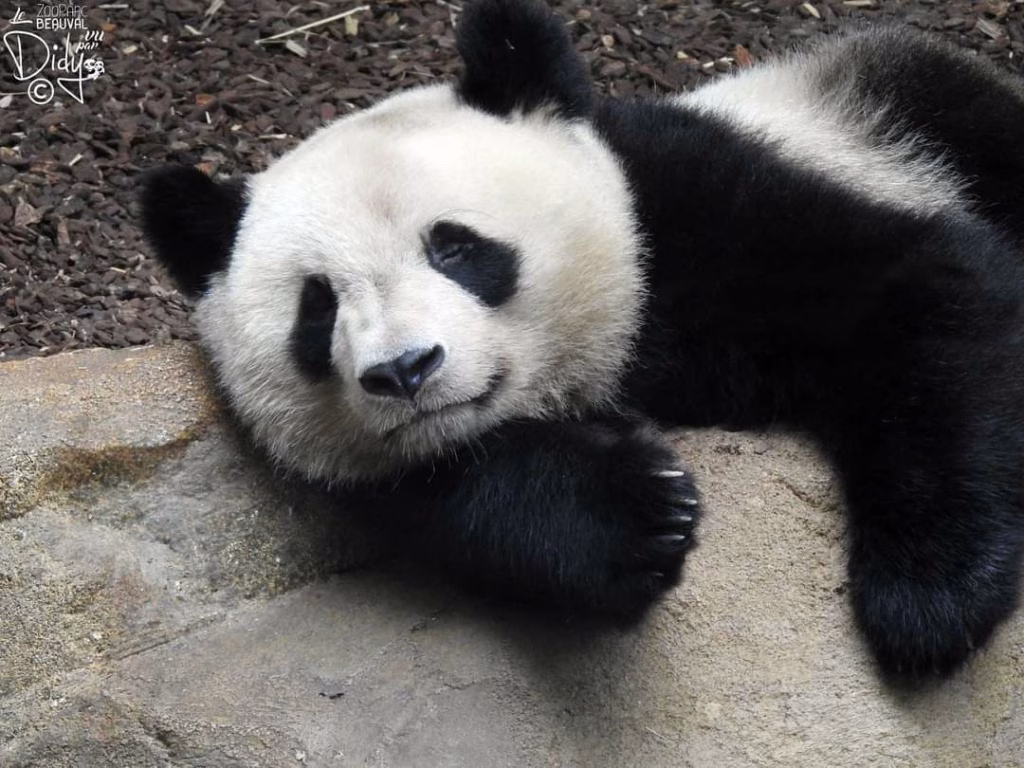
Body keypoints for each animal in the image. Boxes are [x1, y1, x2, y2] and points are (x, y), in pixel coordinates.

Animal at [140, 0, 1024, 682]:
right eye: (318, 308)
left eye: (454, 248)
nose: (406, 370)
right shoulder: (380, 468)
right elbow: (463, 490)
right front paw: (641, 513)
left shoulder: (694, 205)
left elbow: (926, 290)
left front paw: (928, 600)